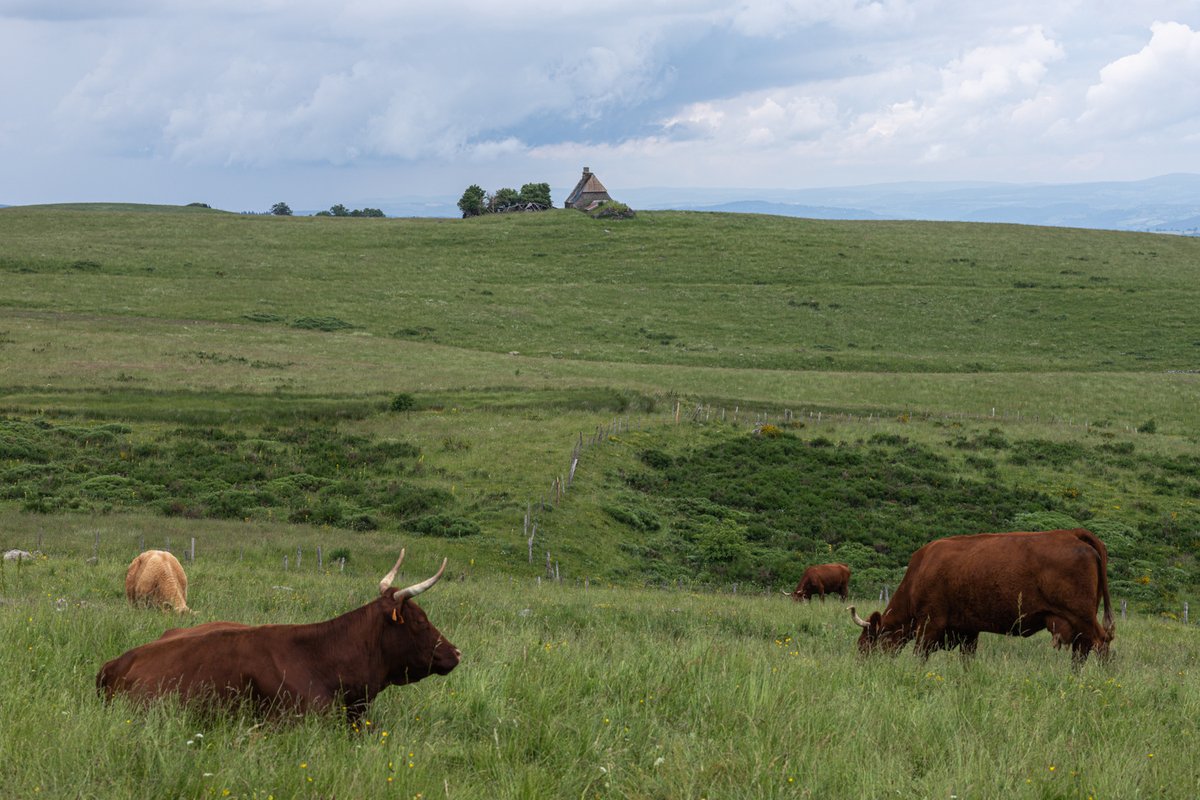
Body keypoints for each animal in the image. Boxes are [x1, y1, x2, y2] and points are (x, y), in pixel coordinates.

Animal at [849, 528, 1114, 663]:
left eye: (865, 643)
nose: (861, 666)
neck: (921, 570)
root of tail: (1072, 533)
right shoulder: (968, 630)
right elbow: (967, 661)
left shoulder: (929, 626)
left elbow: (919, 657)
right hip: (1078, 623)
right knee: (1082, 650)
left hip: (1082, 616)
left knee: (1101, 644)